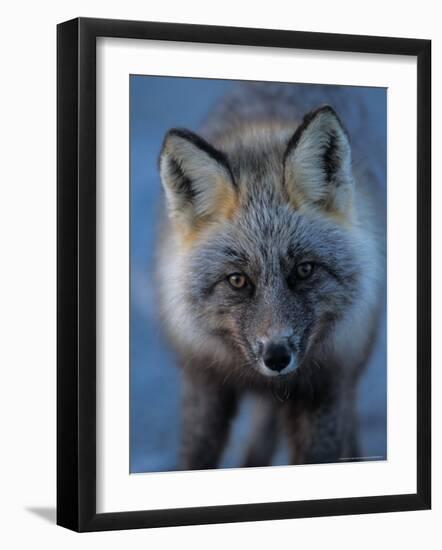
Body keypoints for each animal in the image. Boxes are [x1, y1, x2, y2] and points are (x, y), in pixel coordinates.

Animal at [157, 82, 386, 470]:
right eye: (237, 280)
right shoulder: (203, 381)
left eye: (304, 270)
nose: (276, 357)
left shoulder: (326, 387)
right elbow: (195, 457)